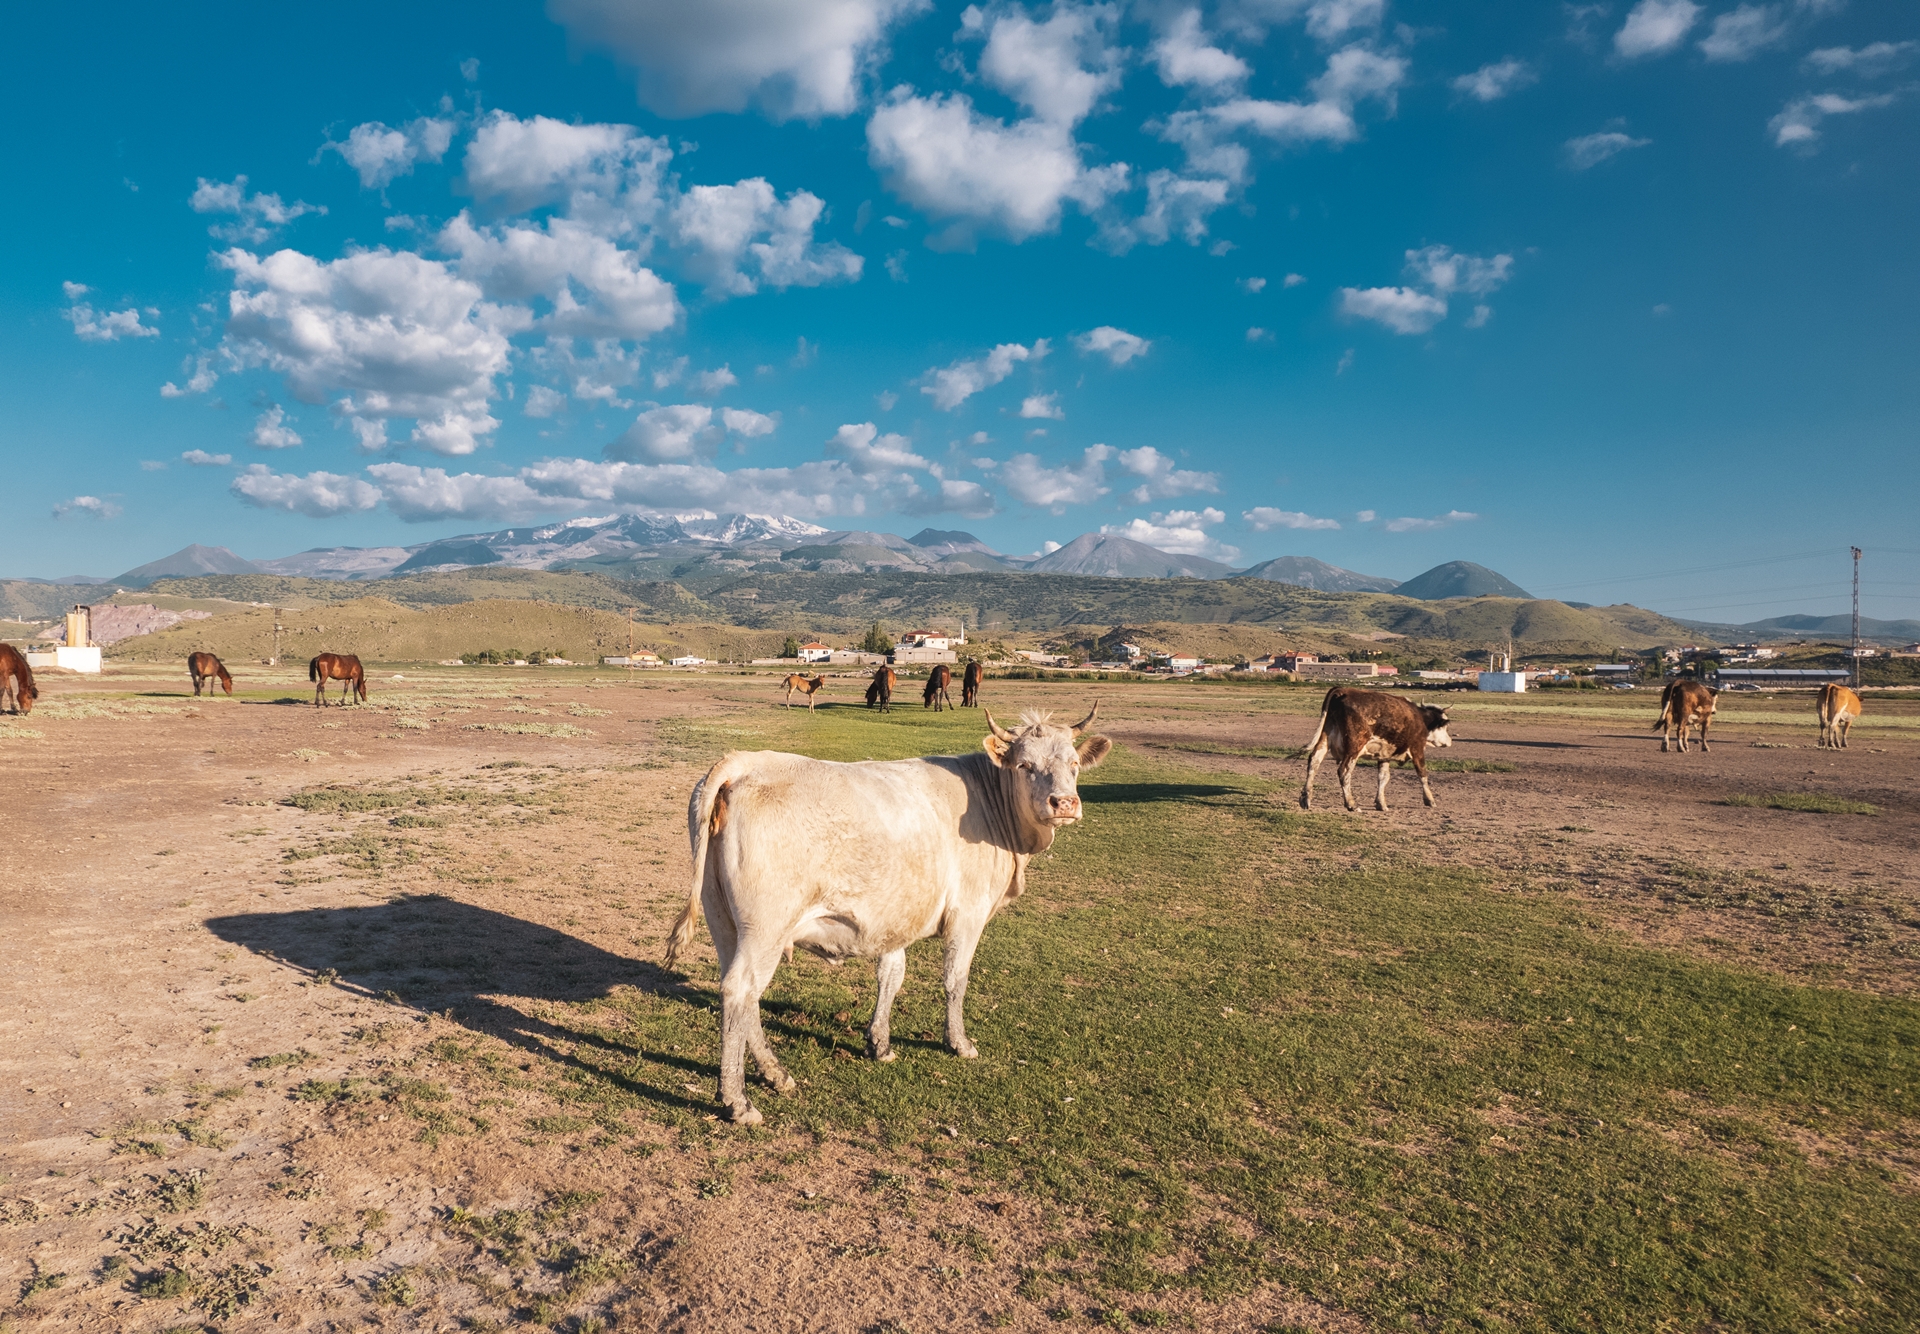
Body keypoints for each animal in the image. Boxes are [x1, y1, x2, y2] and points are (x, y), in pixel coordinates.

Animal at [665, 703, 1111, 1124]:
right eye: (1025, 765)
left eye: (1073, 764)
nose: (1064, 803)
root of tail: (744, 762)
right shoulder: (968, 913)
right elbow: (956, 980)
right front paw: (959, 1043)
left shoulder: (895, 915)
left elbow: (891, 976)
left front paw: (879, 1042)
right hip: (766, 927)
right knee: (740, 991)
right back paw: (737, 1101)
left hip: (724, 921)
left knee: (743, 996)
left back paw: (776, 1074)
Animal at [1300, 687, 1454, 812]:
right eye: (1445, 726)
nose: (1450, 742)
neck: (1421, 719)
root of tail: (1343, 691)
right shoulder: (1417, 749)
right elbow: (1422, 774)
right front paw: (1430, 800)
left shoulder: (1384, 755)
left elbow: (1383, 777)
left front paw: (1381, 803)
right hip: (1354, 746)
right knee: (1344, 771)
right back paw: (1351, 804)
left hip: (1325, 739)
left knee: (1314, 762)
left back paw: (1305, 799)